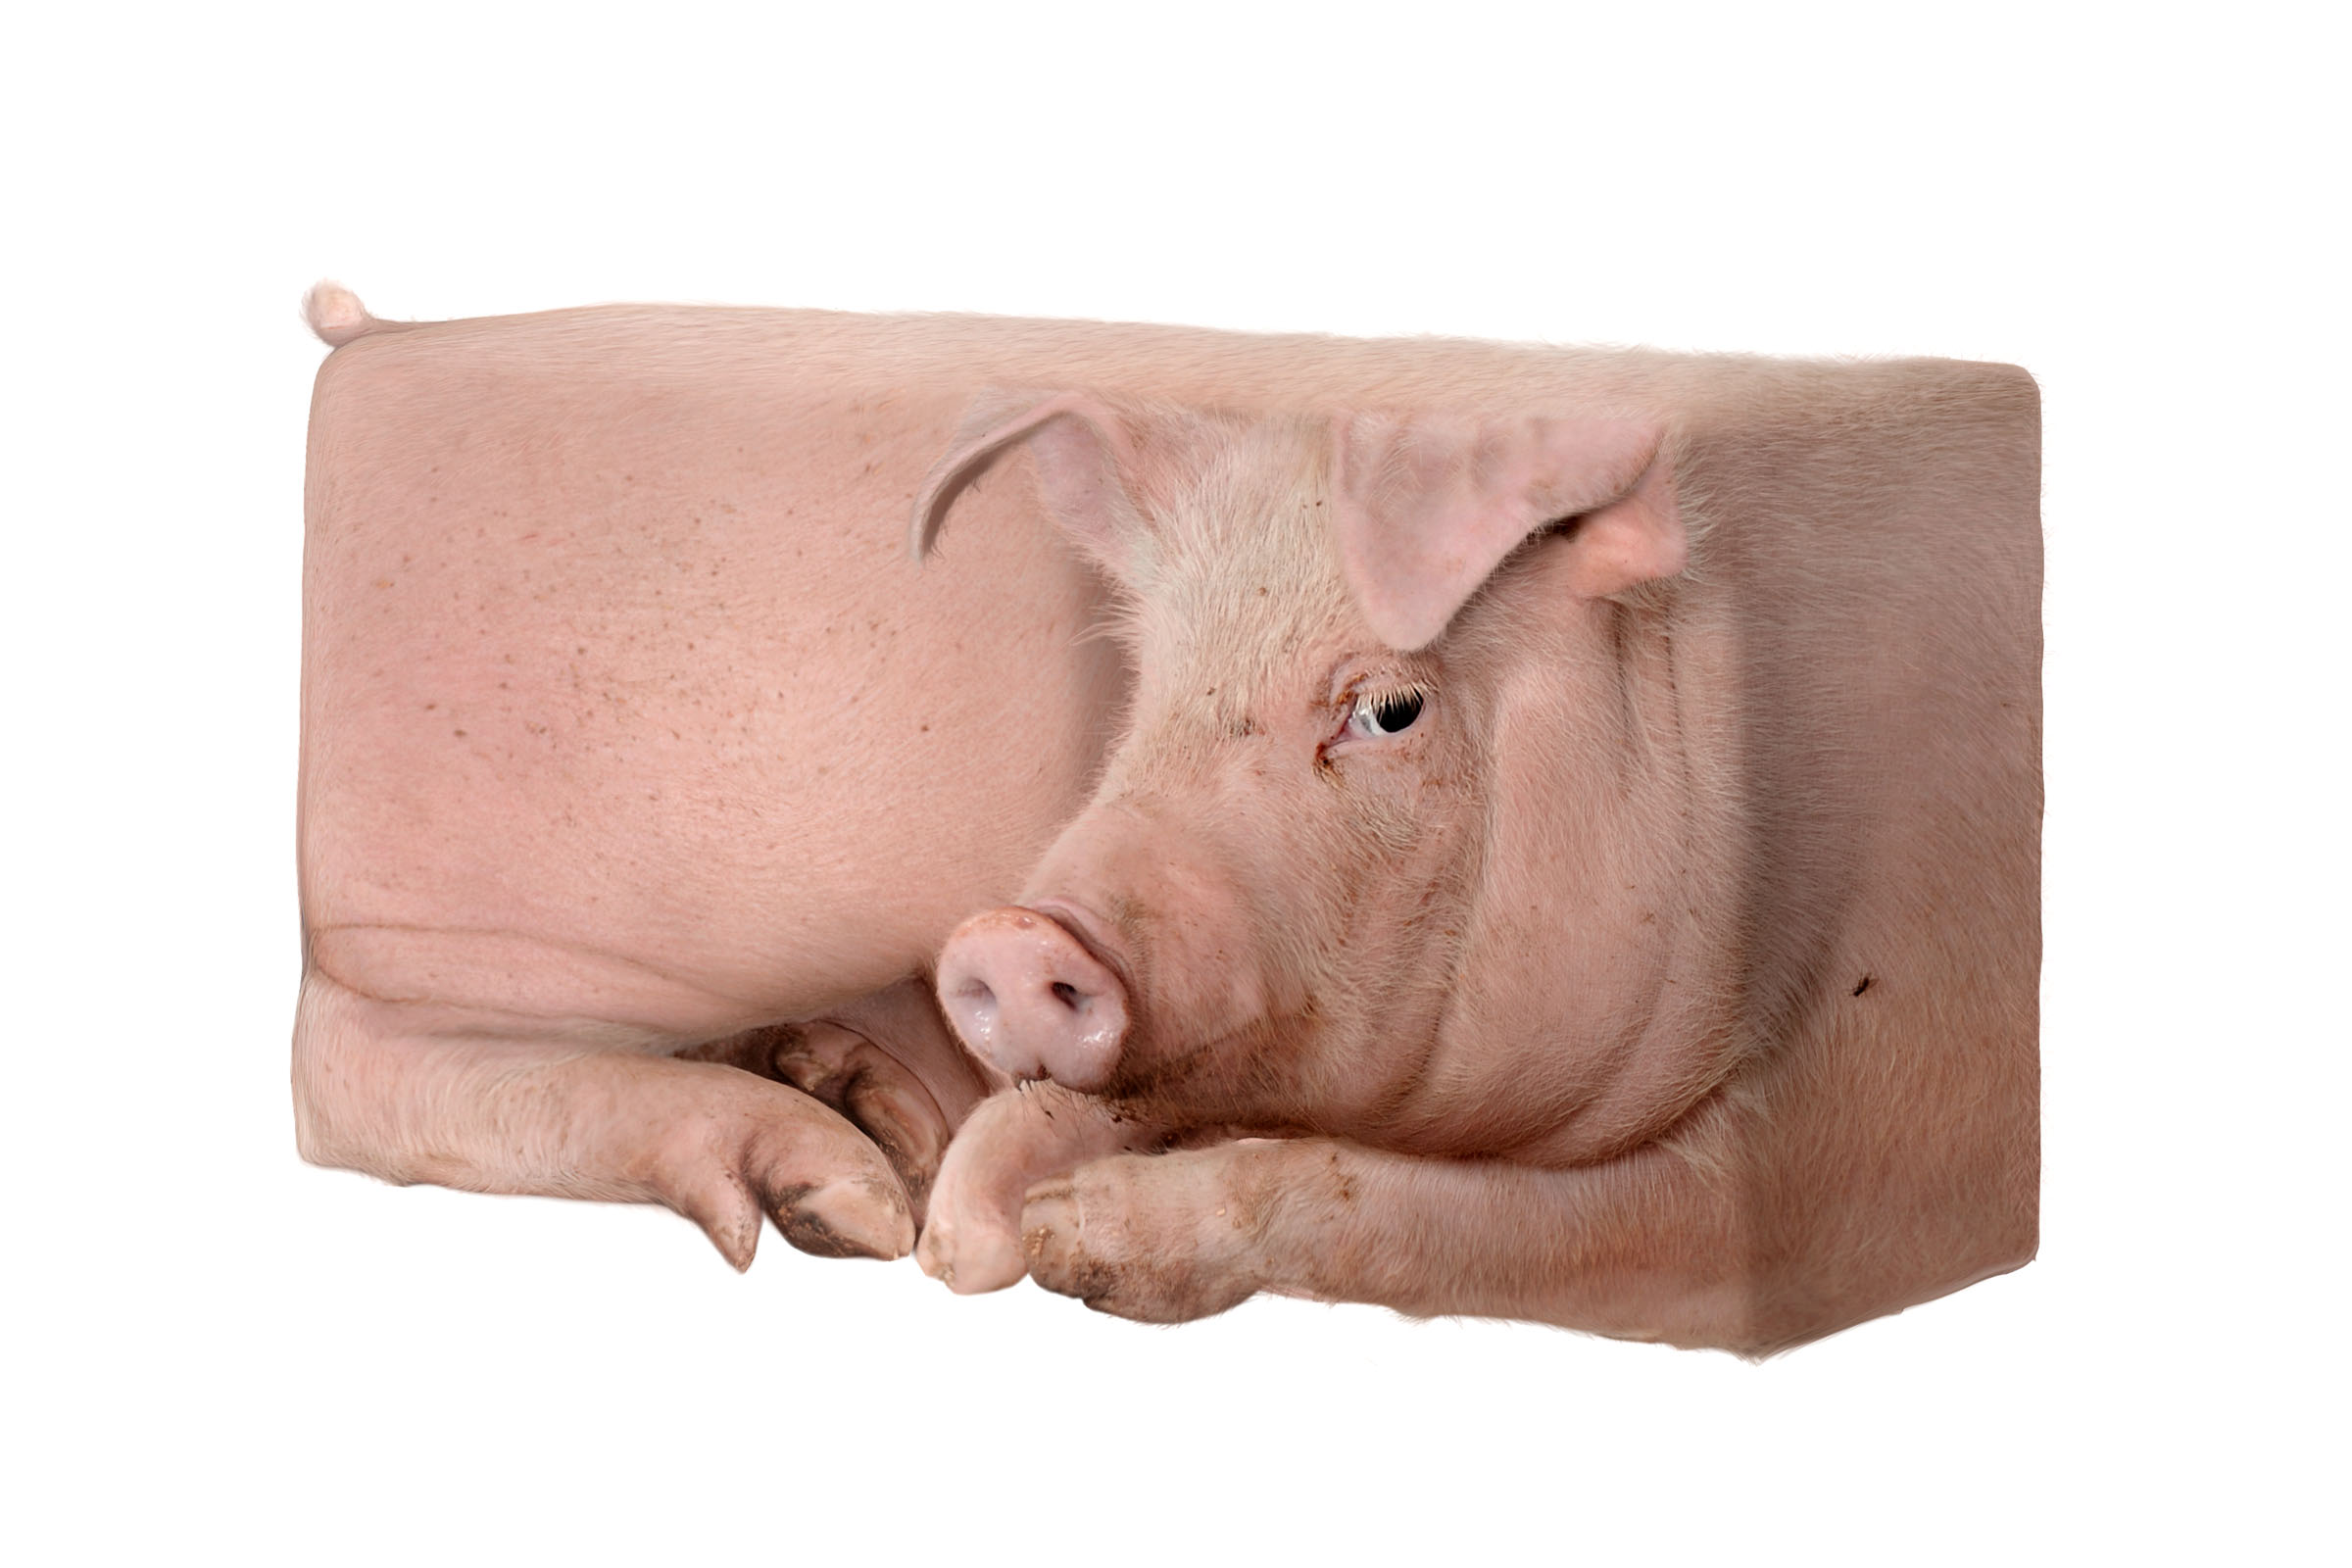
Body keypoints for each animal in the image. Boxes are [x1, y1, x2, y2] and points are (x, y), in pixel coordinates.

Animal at [912, 378, 2039, 1353]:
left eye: (1390, 708)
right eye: (1148, 688)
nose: (1014, 939)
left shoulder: (1858, 1154)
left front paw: (1067, 1233)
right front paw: (963, 1238)